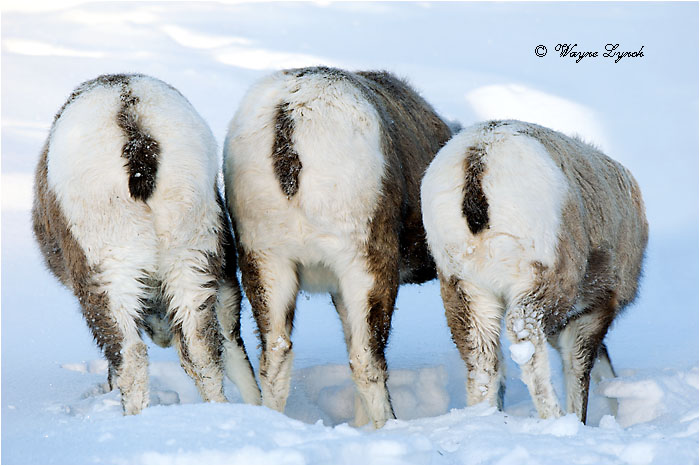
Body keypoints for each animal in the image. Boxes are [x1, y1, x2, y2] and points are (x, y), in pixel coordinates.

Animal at [420, 119, 648, 423]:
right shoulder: (594, 308)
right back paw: (553, 415)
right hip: (541, 283)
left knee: (482, 361)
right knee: (524, 337)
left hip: (466, 289)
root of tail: (478, 158)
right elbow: (580, 367)